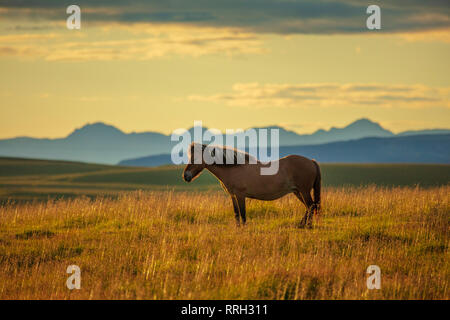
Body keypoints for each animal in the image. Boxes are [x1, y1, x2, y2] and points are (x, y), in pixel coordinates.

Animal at [181, 142, 322, 228]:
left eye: (195, 158)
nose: (185, 176)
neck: (233, 168)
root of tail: (312, 161)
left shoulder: (240, 195)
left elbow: (243, 214)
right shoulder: (233, 196)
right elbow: (236, 214)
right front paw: (238, 228)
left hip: (303, 191)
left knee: (311, 206)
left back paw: (306, 226)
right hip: (297, 192)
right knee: (310, 207)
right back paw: (302, 225)